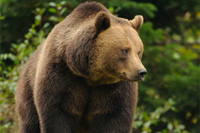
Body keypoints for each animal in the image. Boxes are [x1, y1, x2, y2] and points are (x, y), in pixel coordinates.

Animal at [15, 1, 147, 133]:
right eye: (125, 50)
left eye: (139, 51)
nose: (141, 72)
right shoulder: (61, 76)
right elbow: (58, 114)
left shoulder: (114, 89)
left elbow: (114, 118)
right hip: (28, 90)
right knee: (30, 123)